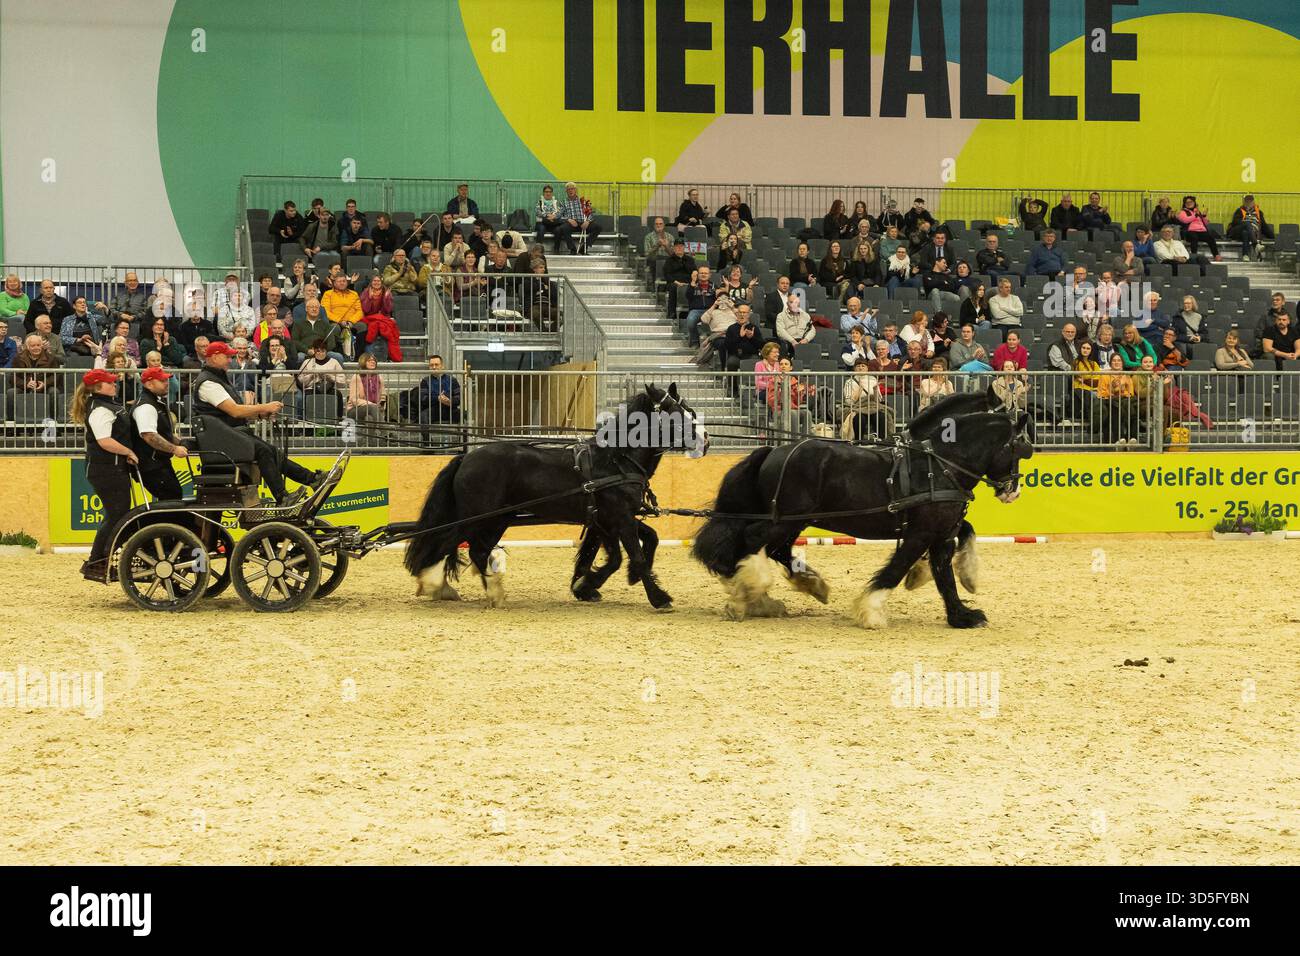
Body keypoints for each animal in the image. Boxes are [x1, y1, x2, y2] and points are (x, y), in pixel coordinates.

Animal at [404, 383, 705, 609]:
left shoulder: (609, 520)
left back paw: (492, 592)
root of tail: (466, 457)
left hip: (497, 519)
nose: (705, 440)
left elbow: (636, 547)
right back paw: (435, 585)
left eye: (688, 408)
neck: (615, 461)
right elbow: (636, 555)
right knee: (444, 542)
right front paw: (659, 598)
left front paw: (589, 585)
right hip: (476, 517)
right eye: (674, 412)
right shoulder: (619, 518)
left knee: (476, 549)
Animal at [691, 407, 1033, 629]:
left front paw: (961, 609)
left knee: (776, 549)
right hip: (785, 519)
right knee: (753, 539)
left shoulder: (942, 531)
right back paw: (745, 594)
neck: (939, 465)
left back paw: (801, 586)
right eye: (1019, 449)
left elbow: (949, 568)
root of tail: (773, 451)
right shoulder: (921, 533)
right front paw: (871, 610)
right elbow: (896, 569)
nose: (1012, 491)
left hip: (794, 521)